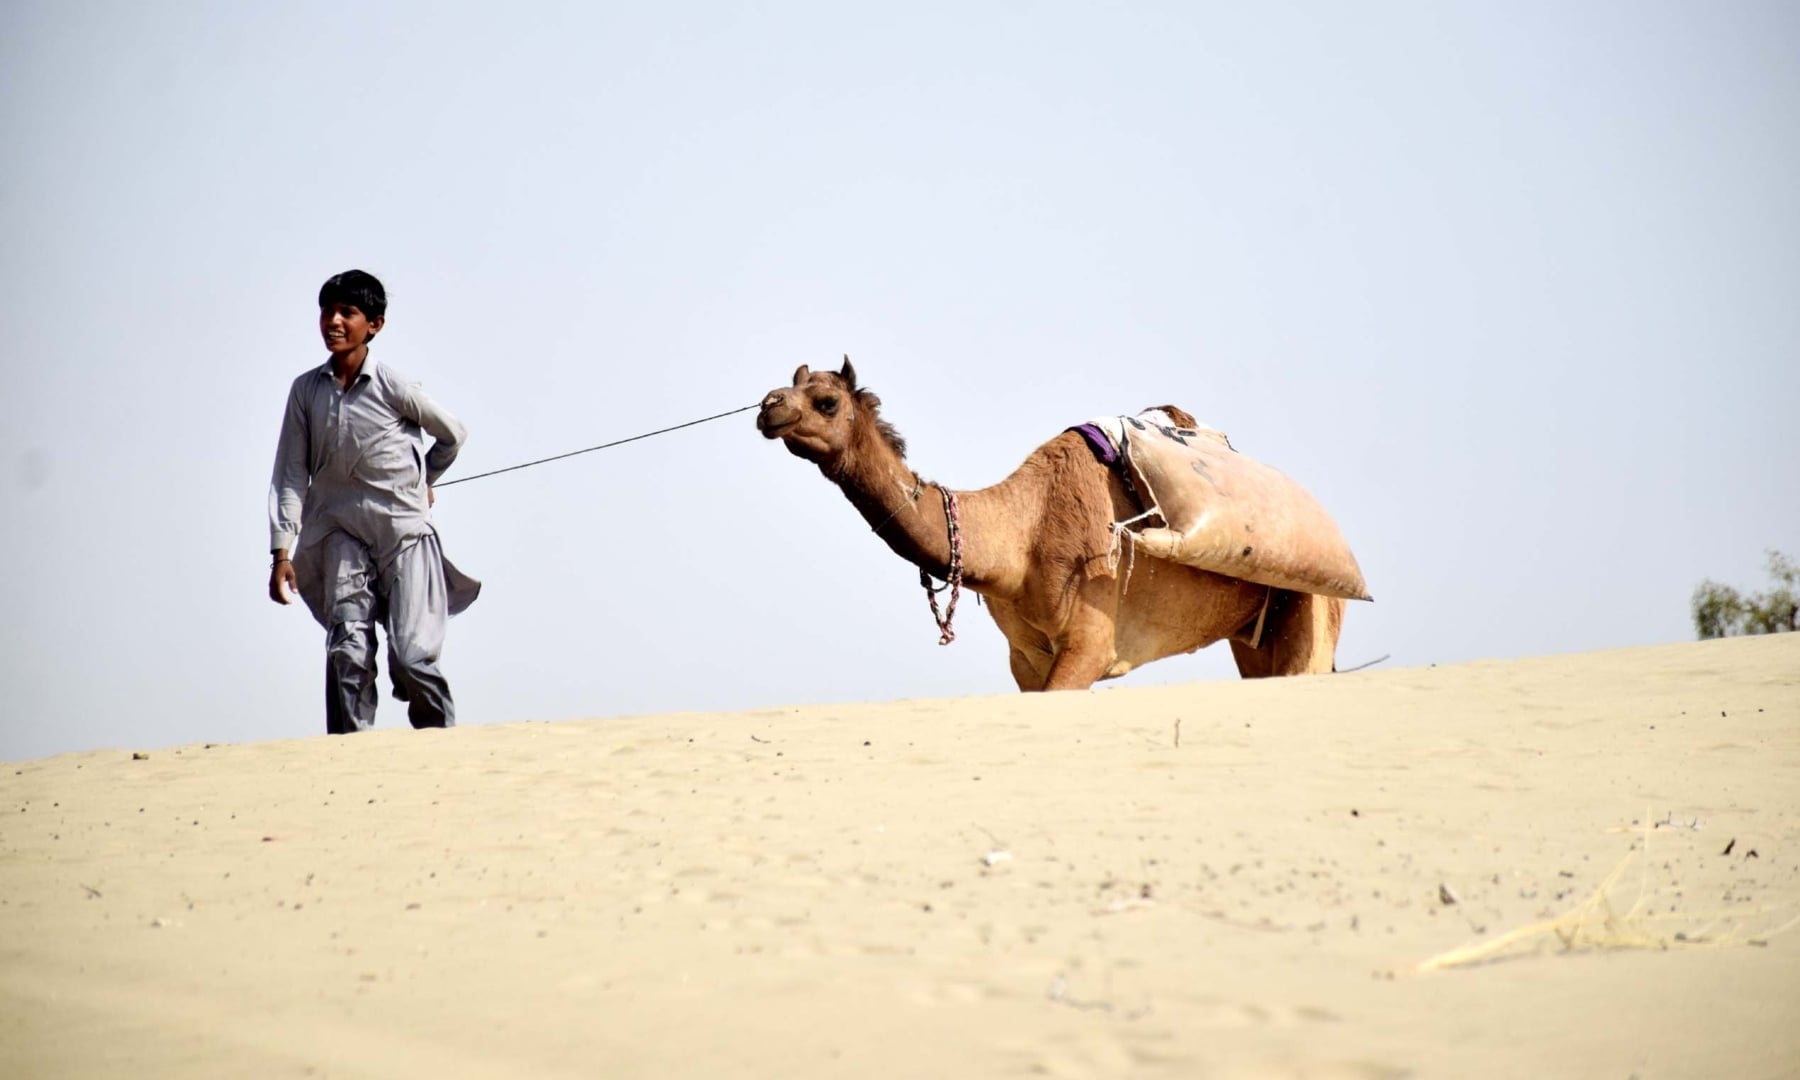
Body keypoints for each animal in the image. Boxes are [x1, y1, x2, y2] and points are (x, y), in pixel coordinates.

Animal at [752, 358, 1346, 687]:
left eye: (826, 401)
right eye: (787, 388)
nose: (768, 406)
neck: (1022, 536)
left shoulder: (1091, 640)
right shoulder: (1026, 660)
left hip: (1312, 606)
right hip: (1255, 636)